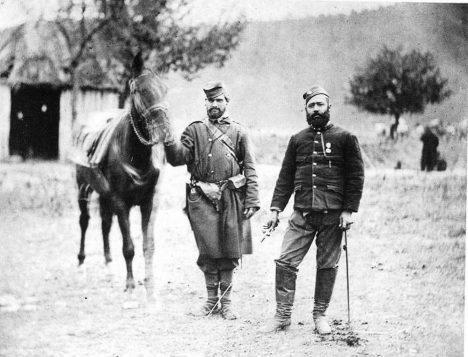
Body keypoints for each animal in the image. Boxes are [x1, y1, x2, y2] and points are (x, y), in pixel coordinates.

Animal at [75, 53, 172, 304]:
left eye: (165, 89)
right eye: (141, 90)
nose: (165, 132)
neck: (134, 154)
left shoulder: (149, 202)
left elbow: (148, 246)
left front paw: (149, 286)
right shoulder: (121, 202)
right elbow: (129, 246)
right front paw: (130, 285)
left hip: (103, 194)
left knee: (105, 225)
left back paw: (109, 268)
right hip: (82, 187)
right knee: (84, 221)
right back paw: (81, 263)